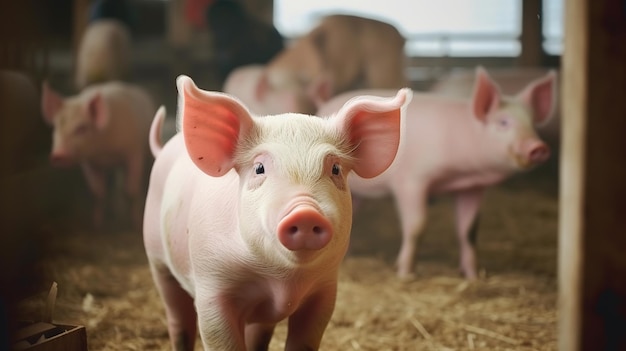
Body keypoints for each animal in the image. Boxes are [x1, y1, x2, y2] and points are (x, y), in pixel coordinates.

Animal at [41, 81, 155, 232]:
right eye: (55, 127)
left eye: (81, 128)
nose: (58, 155)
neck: (104, 152)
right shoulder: (90, 163)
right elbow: (98, 193)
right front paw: (97, 226)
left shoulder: (134, 153)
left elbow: (130, 191)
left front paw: (135, 225)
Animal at [141, 75, 410, 350]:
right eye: (259, 168)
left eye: (335, 168)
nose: (305, 213)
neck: (281, 282)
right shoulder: (211, 288)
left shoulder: (325, 290)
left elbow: (303, 340)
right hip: (157, 258)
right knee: (178, 319)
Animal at [314, 66, 552, 280]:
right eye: (503, 122)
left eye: (532, 124)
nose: (538, 147)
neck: (459, 174)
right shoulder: (411, 181)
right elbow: (417, 226)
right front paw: (405, 274)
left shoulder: (472, 188)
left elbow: (469, 231)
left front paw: (473, 277)